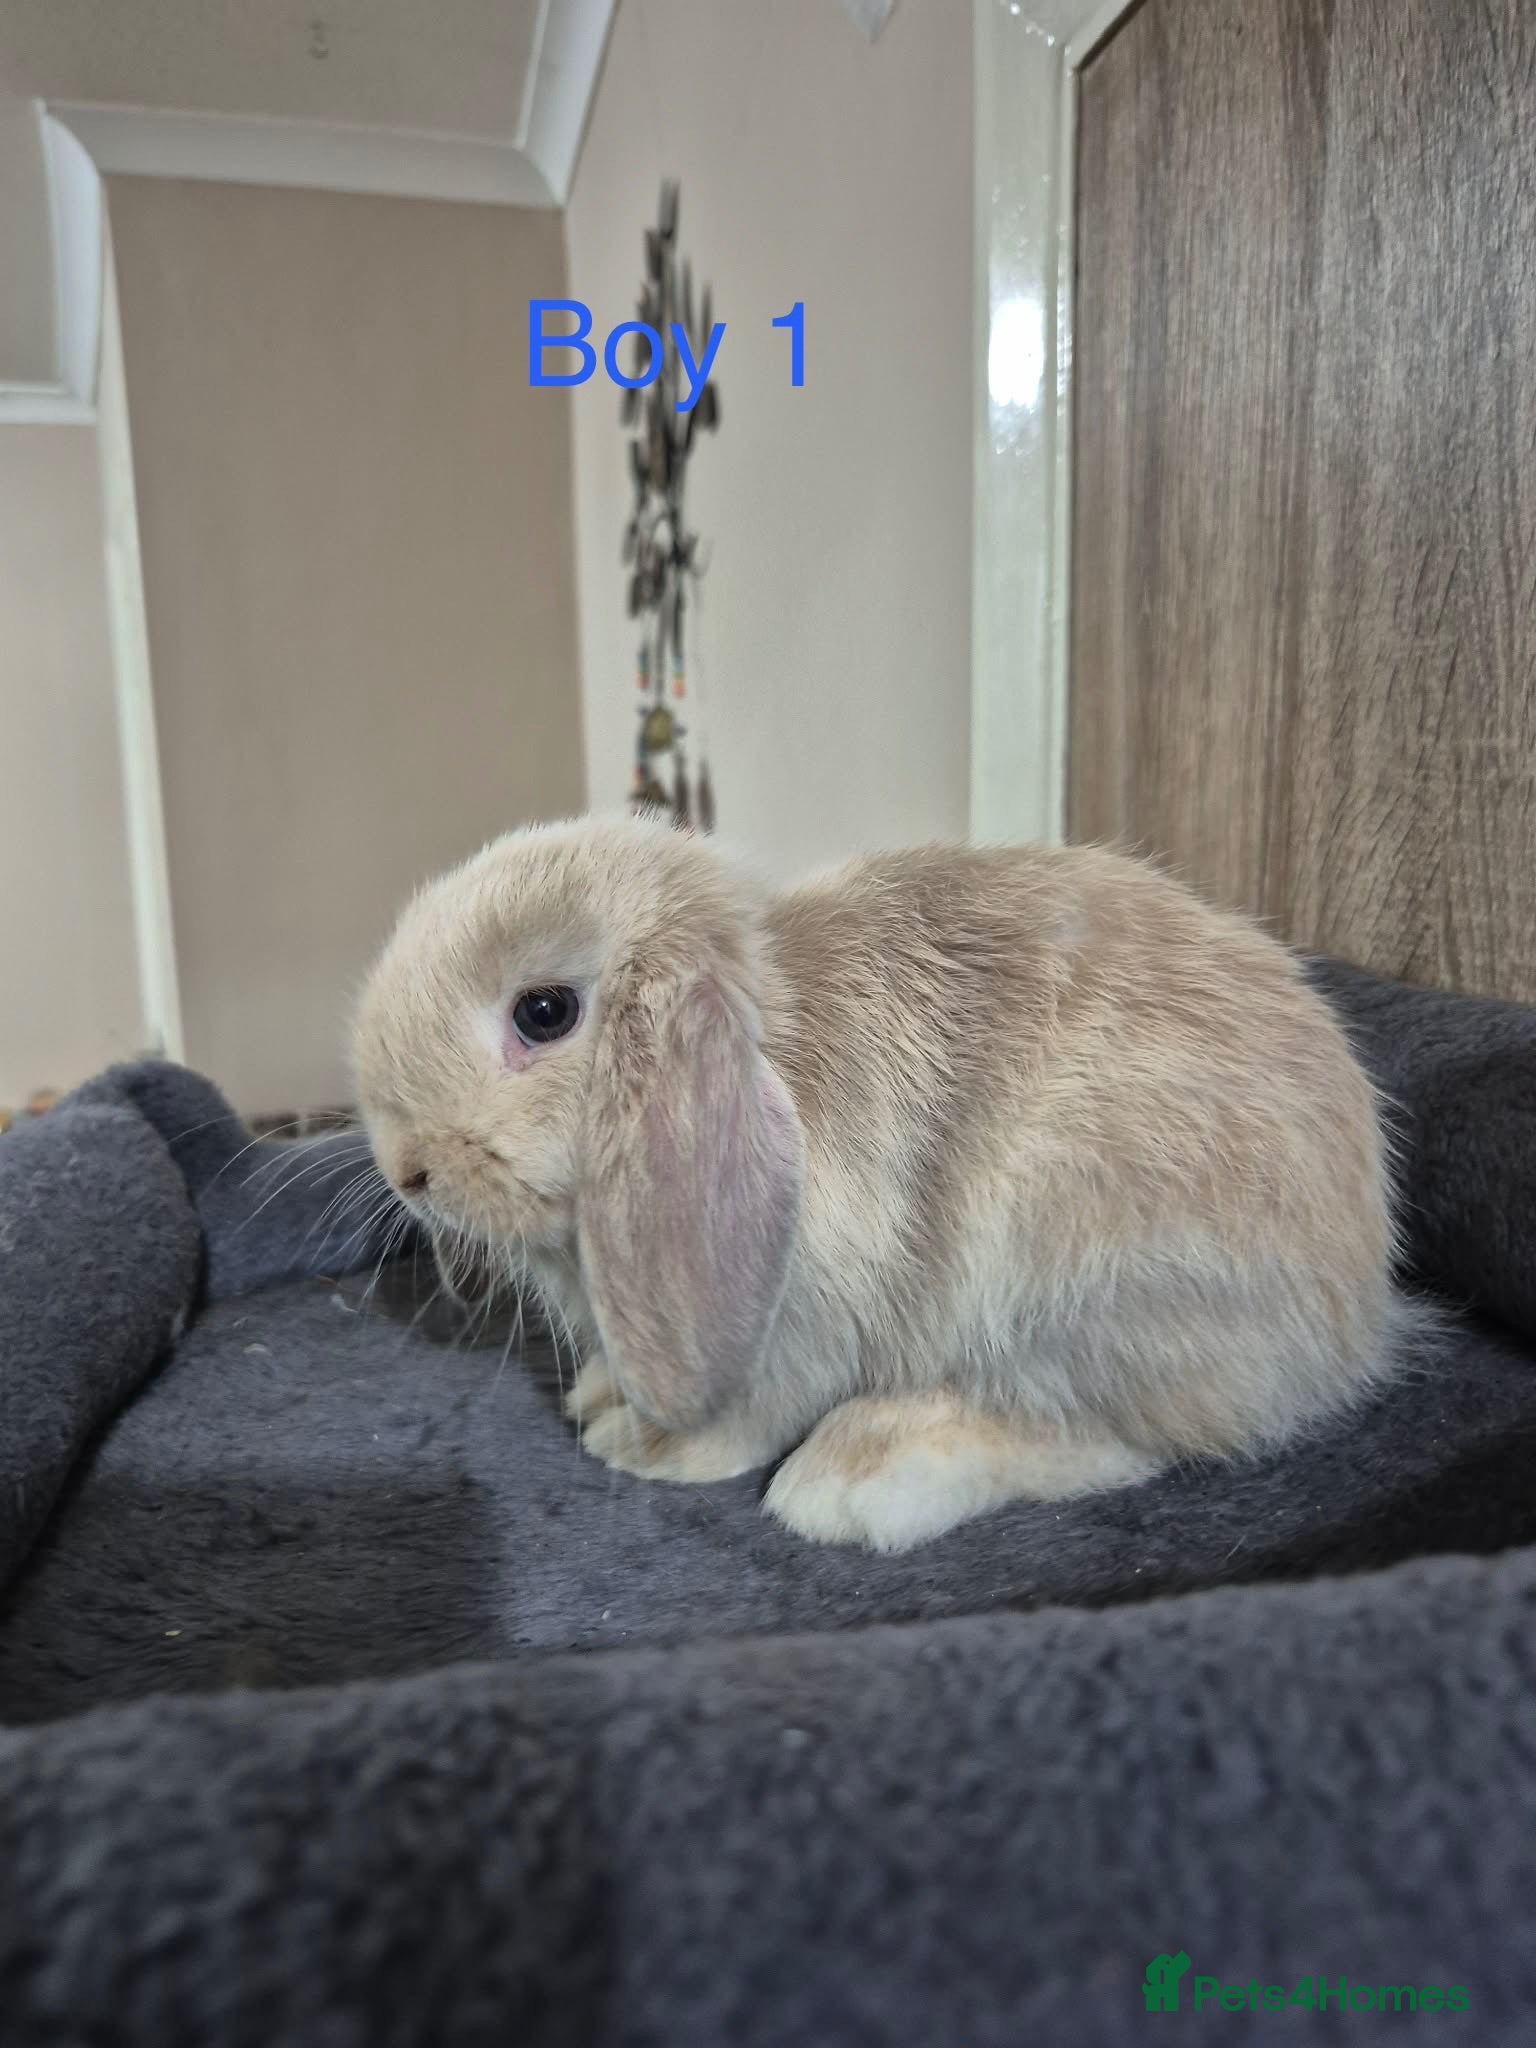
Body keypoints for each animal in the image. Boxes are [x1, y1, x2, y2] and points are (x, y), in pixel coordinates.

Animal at [351, 812, 1407, 1553]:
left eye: (544, 1013)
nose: (408, 1170)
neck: (771, 1039)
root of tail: (1357, 1315)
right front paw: (606, 1400)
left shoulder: (803, 1319)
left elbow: (748, 1410)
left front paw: (650, 1450)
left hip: (1092, 1271)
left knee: (1120, 1433)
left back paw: (863, 1474)